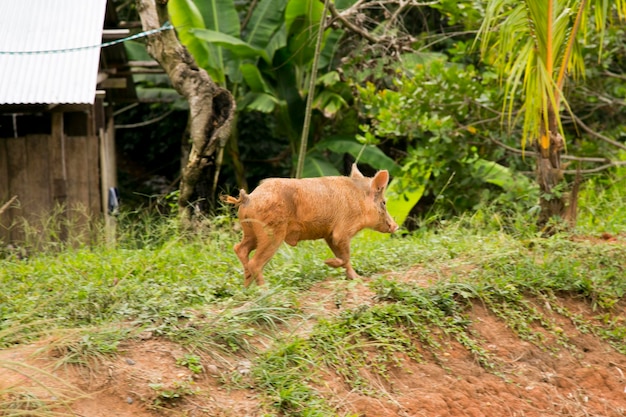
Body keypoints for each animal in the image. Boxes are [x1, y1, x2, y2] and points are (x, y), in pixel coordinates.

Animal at [222, 162, 398, 286]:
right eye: (384, 202)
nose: (395, 226)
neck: (359, 201)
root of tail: (248, 198)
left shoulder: (329, 234)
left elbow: (343, 257)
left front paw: (353, 277)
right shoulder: (342, 232)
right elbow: (345, 257)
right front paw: (334, 266)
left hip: (250, 231)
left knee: (239, 249)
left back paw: (246, 286)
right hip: (271, 233)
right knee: (255, 262)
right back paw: (265, 290)